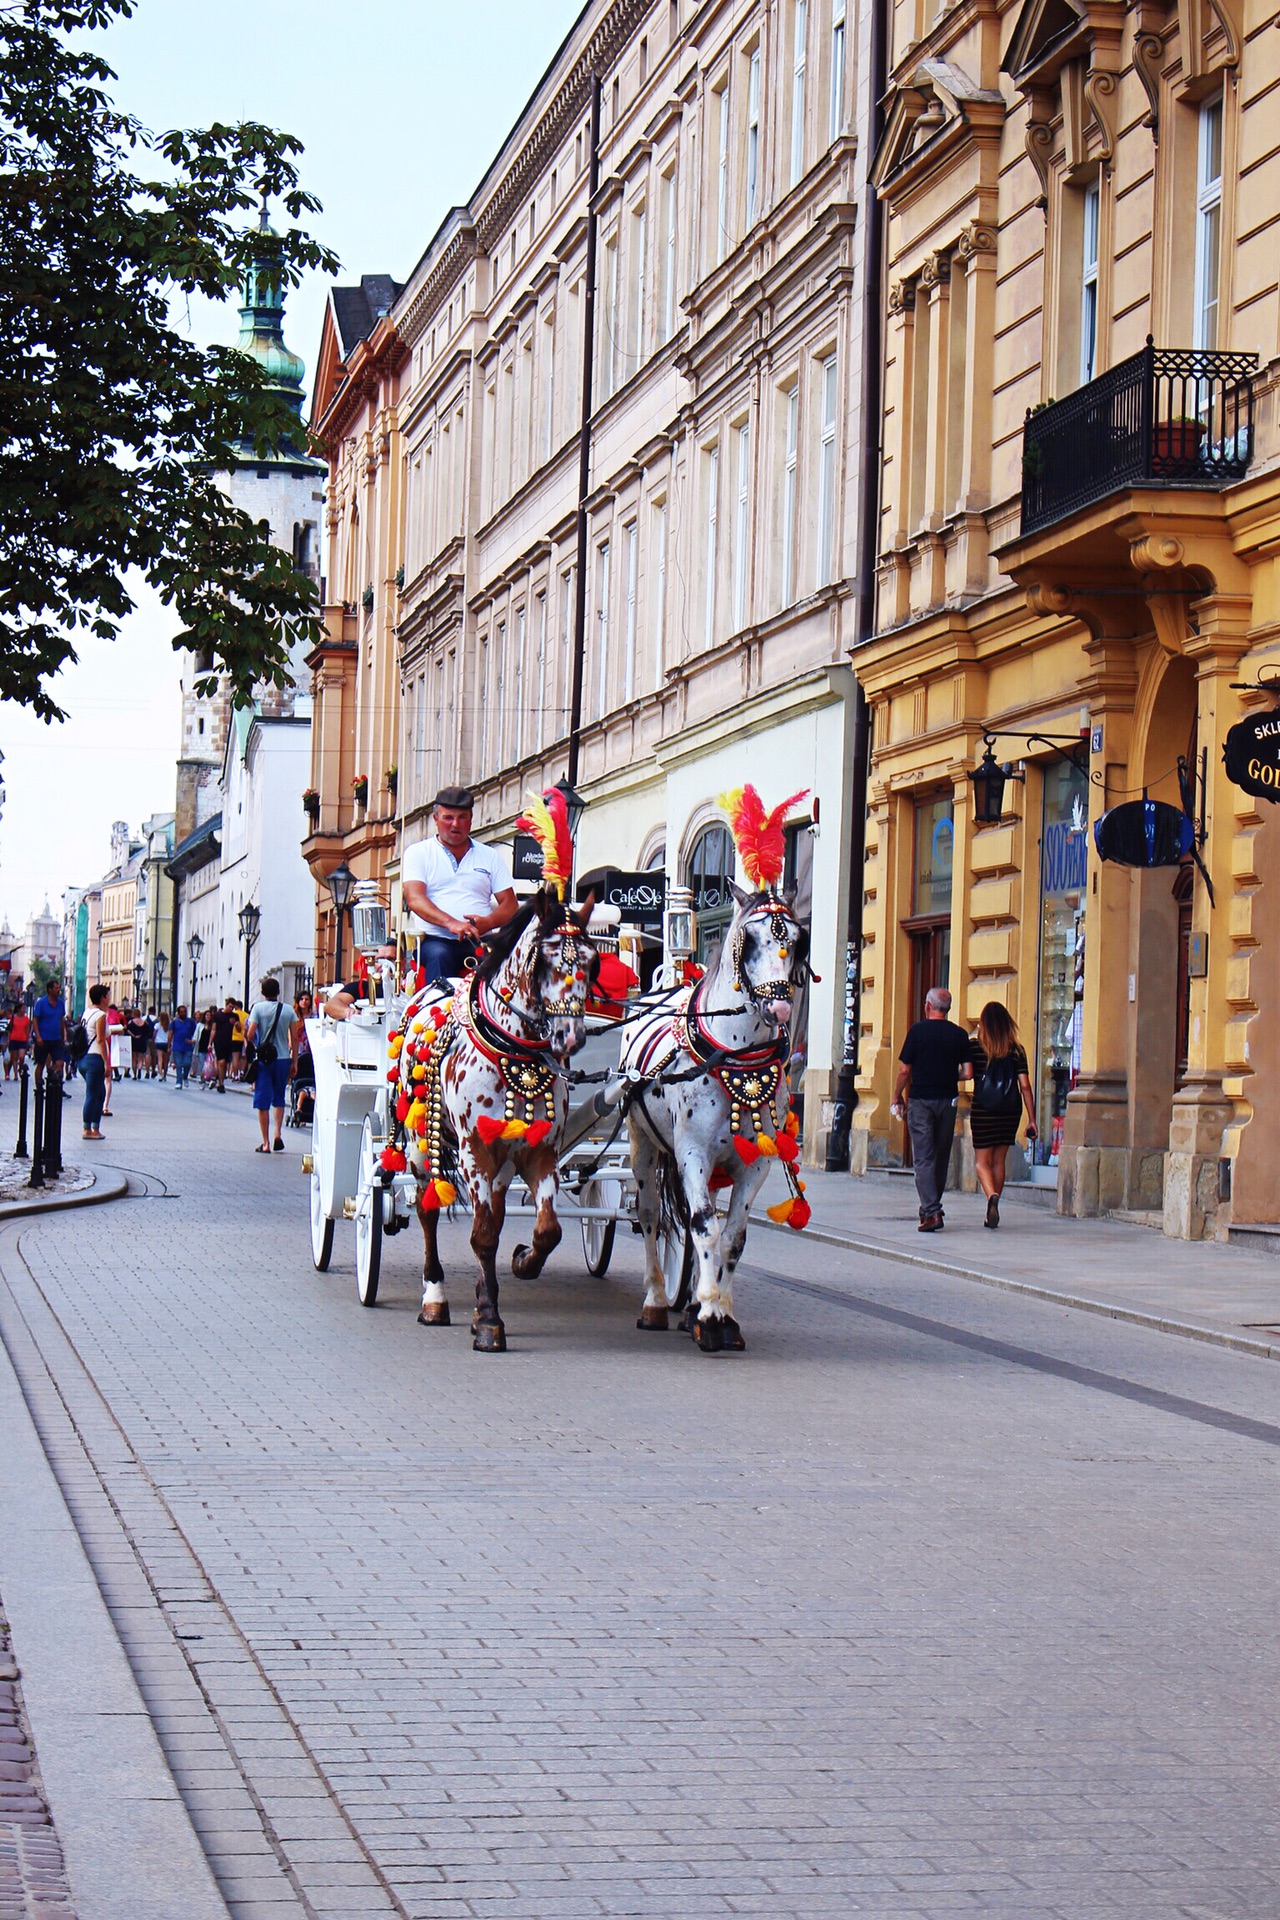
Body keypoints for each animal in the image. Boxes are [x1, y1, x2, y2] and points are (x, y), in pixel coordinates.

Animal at [395, 894, 602, 1359]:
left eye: (593, 961)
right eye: (542, 959)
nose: (570, 1037)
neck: (515, 1052)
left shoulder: (541, 1152)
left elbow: (548, 1230)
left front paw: (523, 1262)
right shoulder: (475, 1151)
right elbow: (484, 1236)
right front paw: (490, 1321)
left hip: (503, 1164)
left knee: (497, 1210)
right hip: (420, 1145)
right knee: (427, 1210)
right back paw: (434, 1299)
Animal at [621, 883, 809, 1351]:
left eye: (797, 940)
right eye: (749, 940)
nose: (780, 1010)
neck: (734, 1057)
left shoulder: (755, 1164)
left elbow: (733, 1237)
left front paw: (722, 1314)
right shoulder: (692, 1153)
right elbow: (705, 1226)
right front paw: (708, 1314)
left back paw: (687, 1304)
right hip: (643, 1144)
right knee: (651, 1216)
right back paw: (656, 1301)